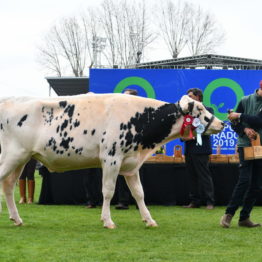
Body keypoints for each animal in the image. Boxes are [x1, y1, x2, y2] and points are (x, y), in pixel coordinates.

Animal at [0, 93, 223, 227]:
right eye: (200, 110)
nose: (221, 123)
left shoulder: (132, 164)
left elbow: (139, 193)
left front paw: (149, 219)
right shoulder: (111, 158)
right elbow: (108, 191)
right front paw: (107, 221)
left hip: (22, 160)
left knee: (8, 186)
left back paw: (16, 218)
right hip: (12, 156)